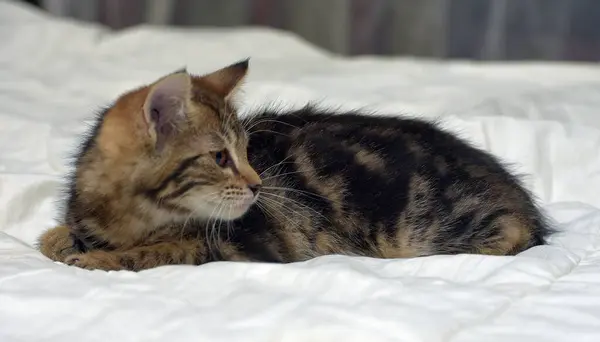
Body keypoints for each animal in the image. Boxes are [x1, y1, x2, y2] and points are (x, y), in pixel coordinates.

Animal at [38, 60, 552, 272]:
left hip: (424, 227)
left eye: (247, 152)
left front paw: (96, 259)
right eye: (221, 157)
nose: (258, 185)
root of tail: (523, 201)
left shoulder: (240, 246)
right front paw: (63, 239)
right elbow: (57, 234)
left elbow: (160, 251)